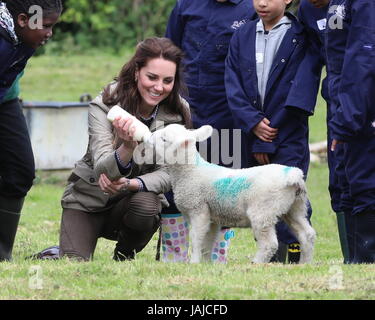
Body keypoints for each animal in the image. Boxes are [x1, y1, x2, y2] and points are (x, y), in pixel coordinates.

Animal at [141, 124, 318, 264]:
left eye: (164, 139)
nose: (149, 136)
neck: (190, 171)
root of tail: (292, 174)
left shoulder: (198, 209)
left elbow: (197, 238)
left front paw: (194, 262)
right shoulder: (212, 216)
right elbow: (207, 243)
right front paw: (206, 264)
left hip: (263, 210)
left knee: (270, 243)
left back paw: (256, 263)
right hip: (294, 207)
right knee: (306, 234)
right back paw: (305, 263)